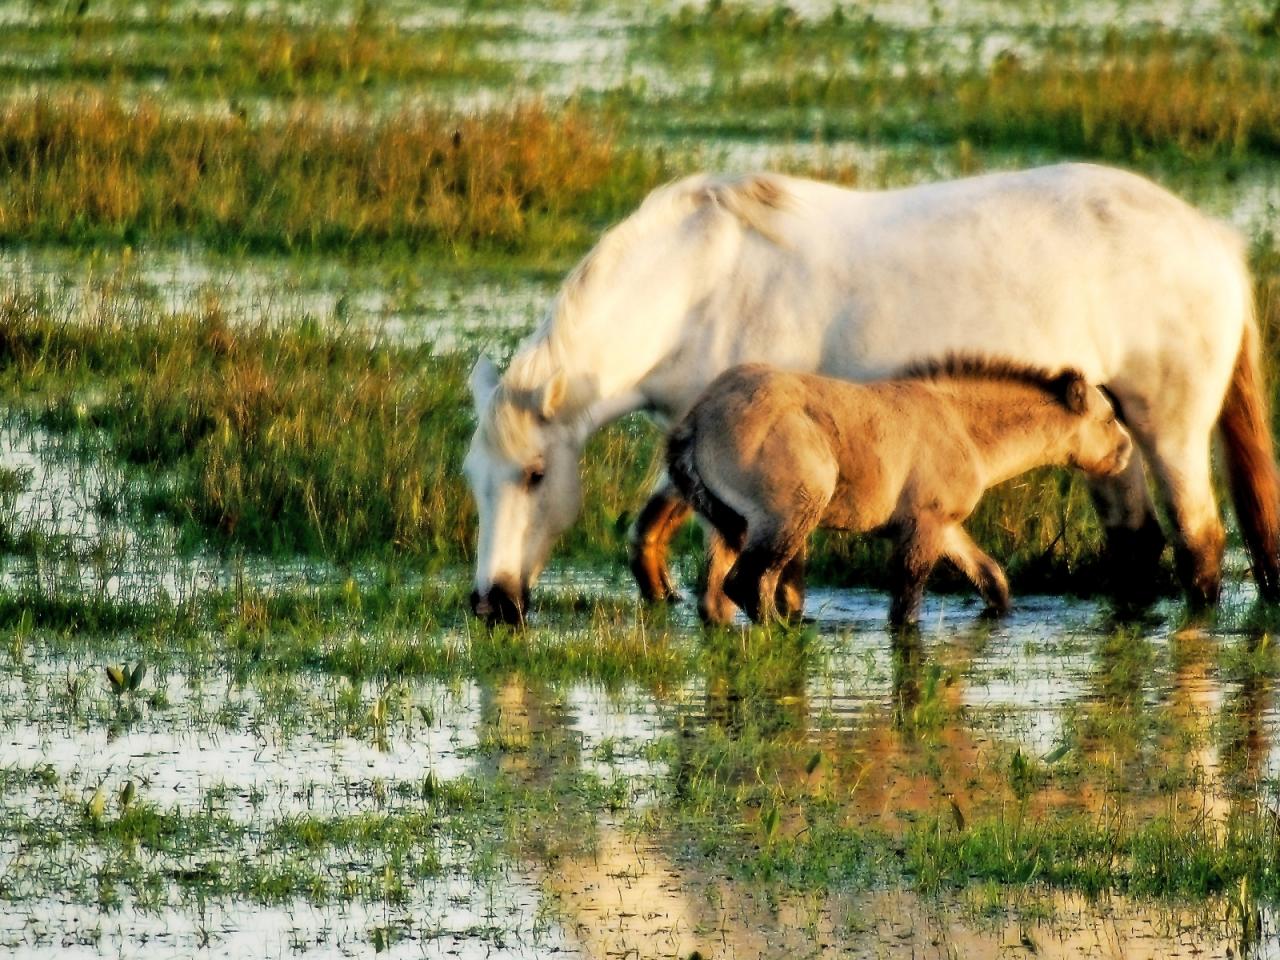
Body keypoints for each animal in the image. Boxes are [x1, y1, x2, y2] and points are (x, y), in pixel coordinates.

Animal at [465, 165, 1274, 624]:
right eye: (475, 481)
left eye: (535, 476)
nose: (493, 601)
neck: (699, 281)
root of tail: (1212, 239)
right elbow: (650, 537)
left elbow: (760, 572)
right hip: (1106, 439)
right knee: (1137, 543)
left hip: (1168, 431)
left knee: (1199, 545)